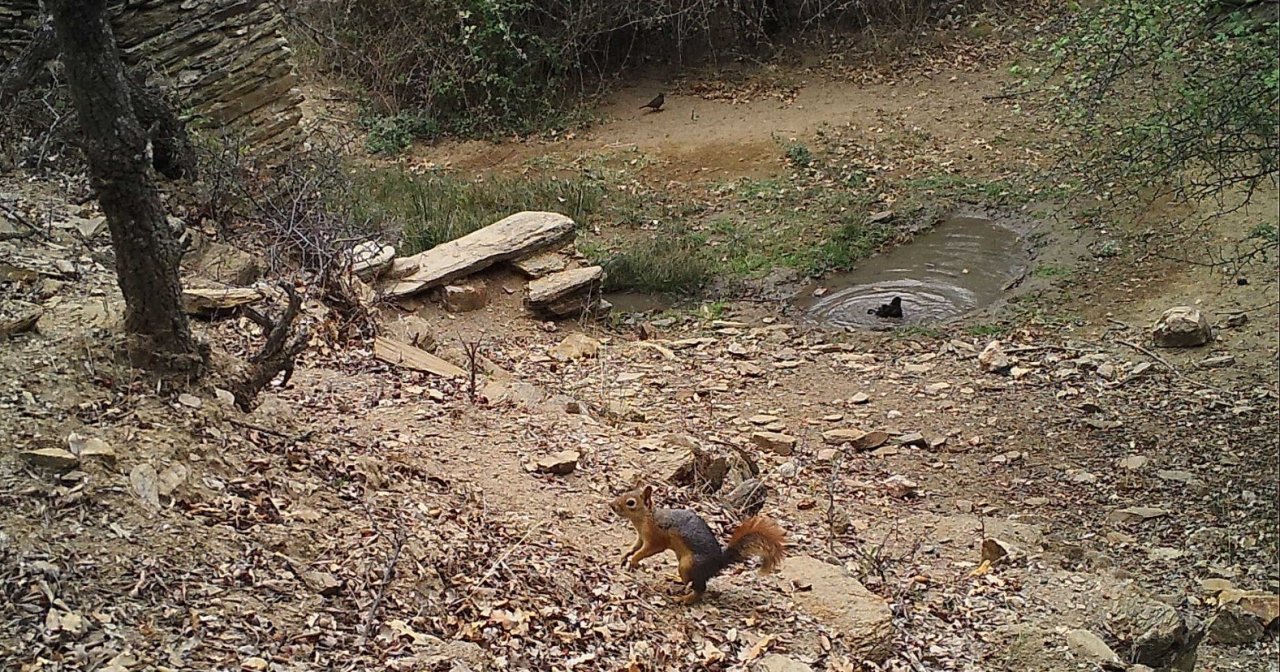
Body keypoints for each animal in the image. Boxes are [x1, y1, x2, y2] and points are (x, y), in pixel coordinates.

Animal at [606, 481, 783, 601]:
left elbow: (647, 550)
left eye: (630, 502)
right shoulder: (641, 537)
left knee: (701, 589)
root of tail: (718, 563)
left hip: (689, 565)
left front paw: (634, 561)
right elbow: (635, 547)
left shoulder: (656, 538)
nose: (611, 505)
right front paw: (625, 556)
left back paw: (684, 599)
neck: (645, 519)